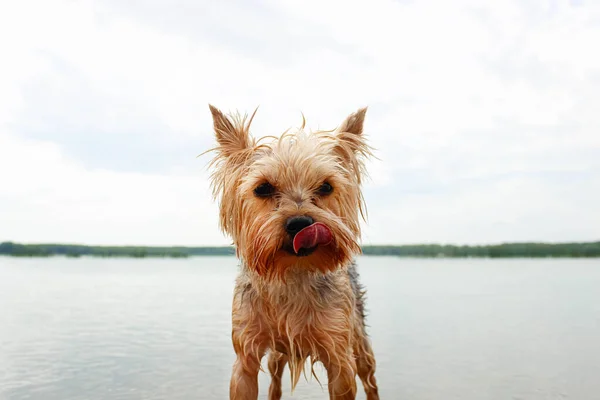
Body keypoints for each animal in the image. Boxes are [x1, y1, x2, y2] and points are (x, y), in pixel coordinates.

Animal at [204, 104, 378, 398]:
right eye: (262, 187)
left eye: (326, 186)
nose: (300, 223)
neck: (293, 272)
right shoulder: (245, 355)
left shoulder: (339, 358)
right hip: (277, 355)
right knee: (275, 383)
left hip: (360, 338)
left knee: (369, 379)